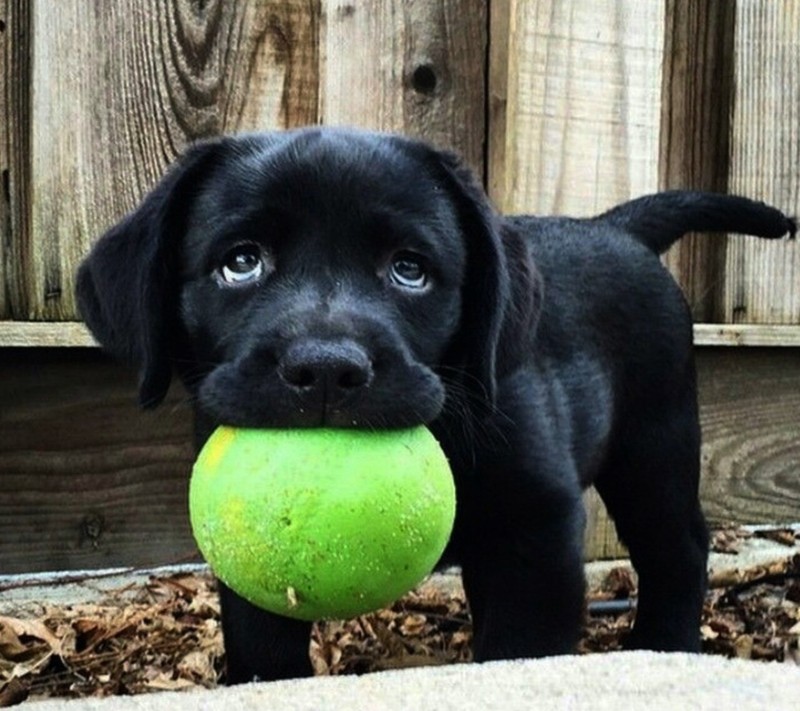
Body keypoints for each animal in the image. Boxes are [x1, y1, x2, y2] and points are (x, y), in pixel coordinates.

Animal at [75, 128, 792, 684]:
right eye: (241, 262)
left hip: (654, 444)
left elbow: (520, 651)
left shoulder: (537, 530)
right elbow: (263, 646)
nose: (327, 368)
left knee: (678, 548)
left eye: (410, 269)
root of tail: (613, 226)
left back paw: (664, 647)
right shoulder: (246, 568)